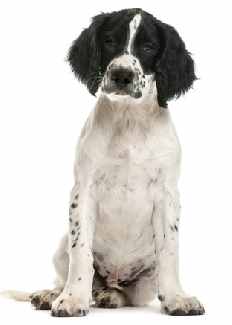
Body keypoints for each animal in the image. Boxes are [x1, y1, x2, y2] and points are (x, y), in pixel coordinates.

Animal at [1, 7, 205, 316]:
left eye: (148, 47)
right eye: (109, 40)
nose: (121, 75)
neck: (129, 121)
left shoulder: (168, 194)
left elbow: (170, 251)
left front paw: (177, 298)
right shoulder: (84, 190)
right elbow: (81, 251)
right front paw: (73, 298)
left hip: (144, 281)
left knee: (128, 294)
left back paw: (111, 296)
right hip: (60, 249)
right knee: (68, 273)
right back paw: (52, 294)